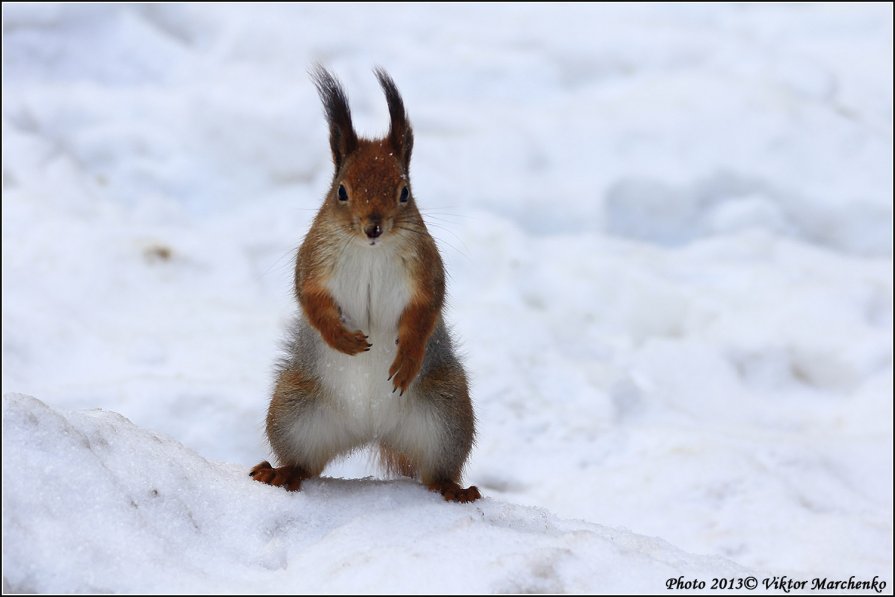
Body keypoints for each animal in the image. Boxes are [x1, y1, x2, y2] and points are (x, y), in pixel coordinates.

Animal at [250, 66, 484, 502]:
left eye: (404, 191)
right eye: (341, 191)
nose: (373, 226)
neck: (371, 250)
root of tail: (371, 431)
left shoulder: (426, 268)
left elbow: (427, 308)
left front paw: (407, 358)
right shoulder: (313, 261)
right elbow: (309, 297)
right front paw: (343, 340)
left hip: (447, 414)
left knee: (437, 470)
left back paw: (453, 489)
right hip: (294, 410)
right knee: (303, 462)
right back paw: (280, 472)